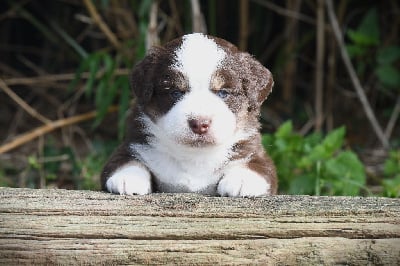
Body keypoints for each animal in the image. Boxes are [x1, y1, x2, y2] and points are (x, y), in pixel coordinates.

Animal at [101, 33, 276, 196]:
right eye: (175, 92)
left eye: (223, 93)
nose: (200, 124)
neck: (194, 157)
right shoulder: (133, 144)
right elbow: (125, 160)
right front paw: (129, 178)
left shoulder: (254, 151)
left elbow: (257, 166)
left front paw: (242, 180)